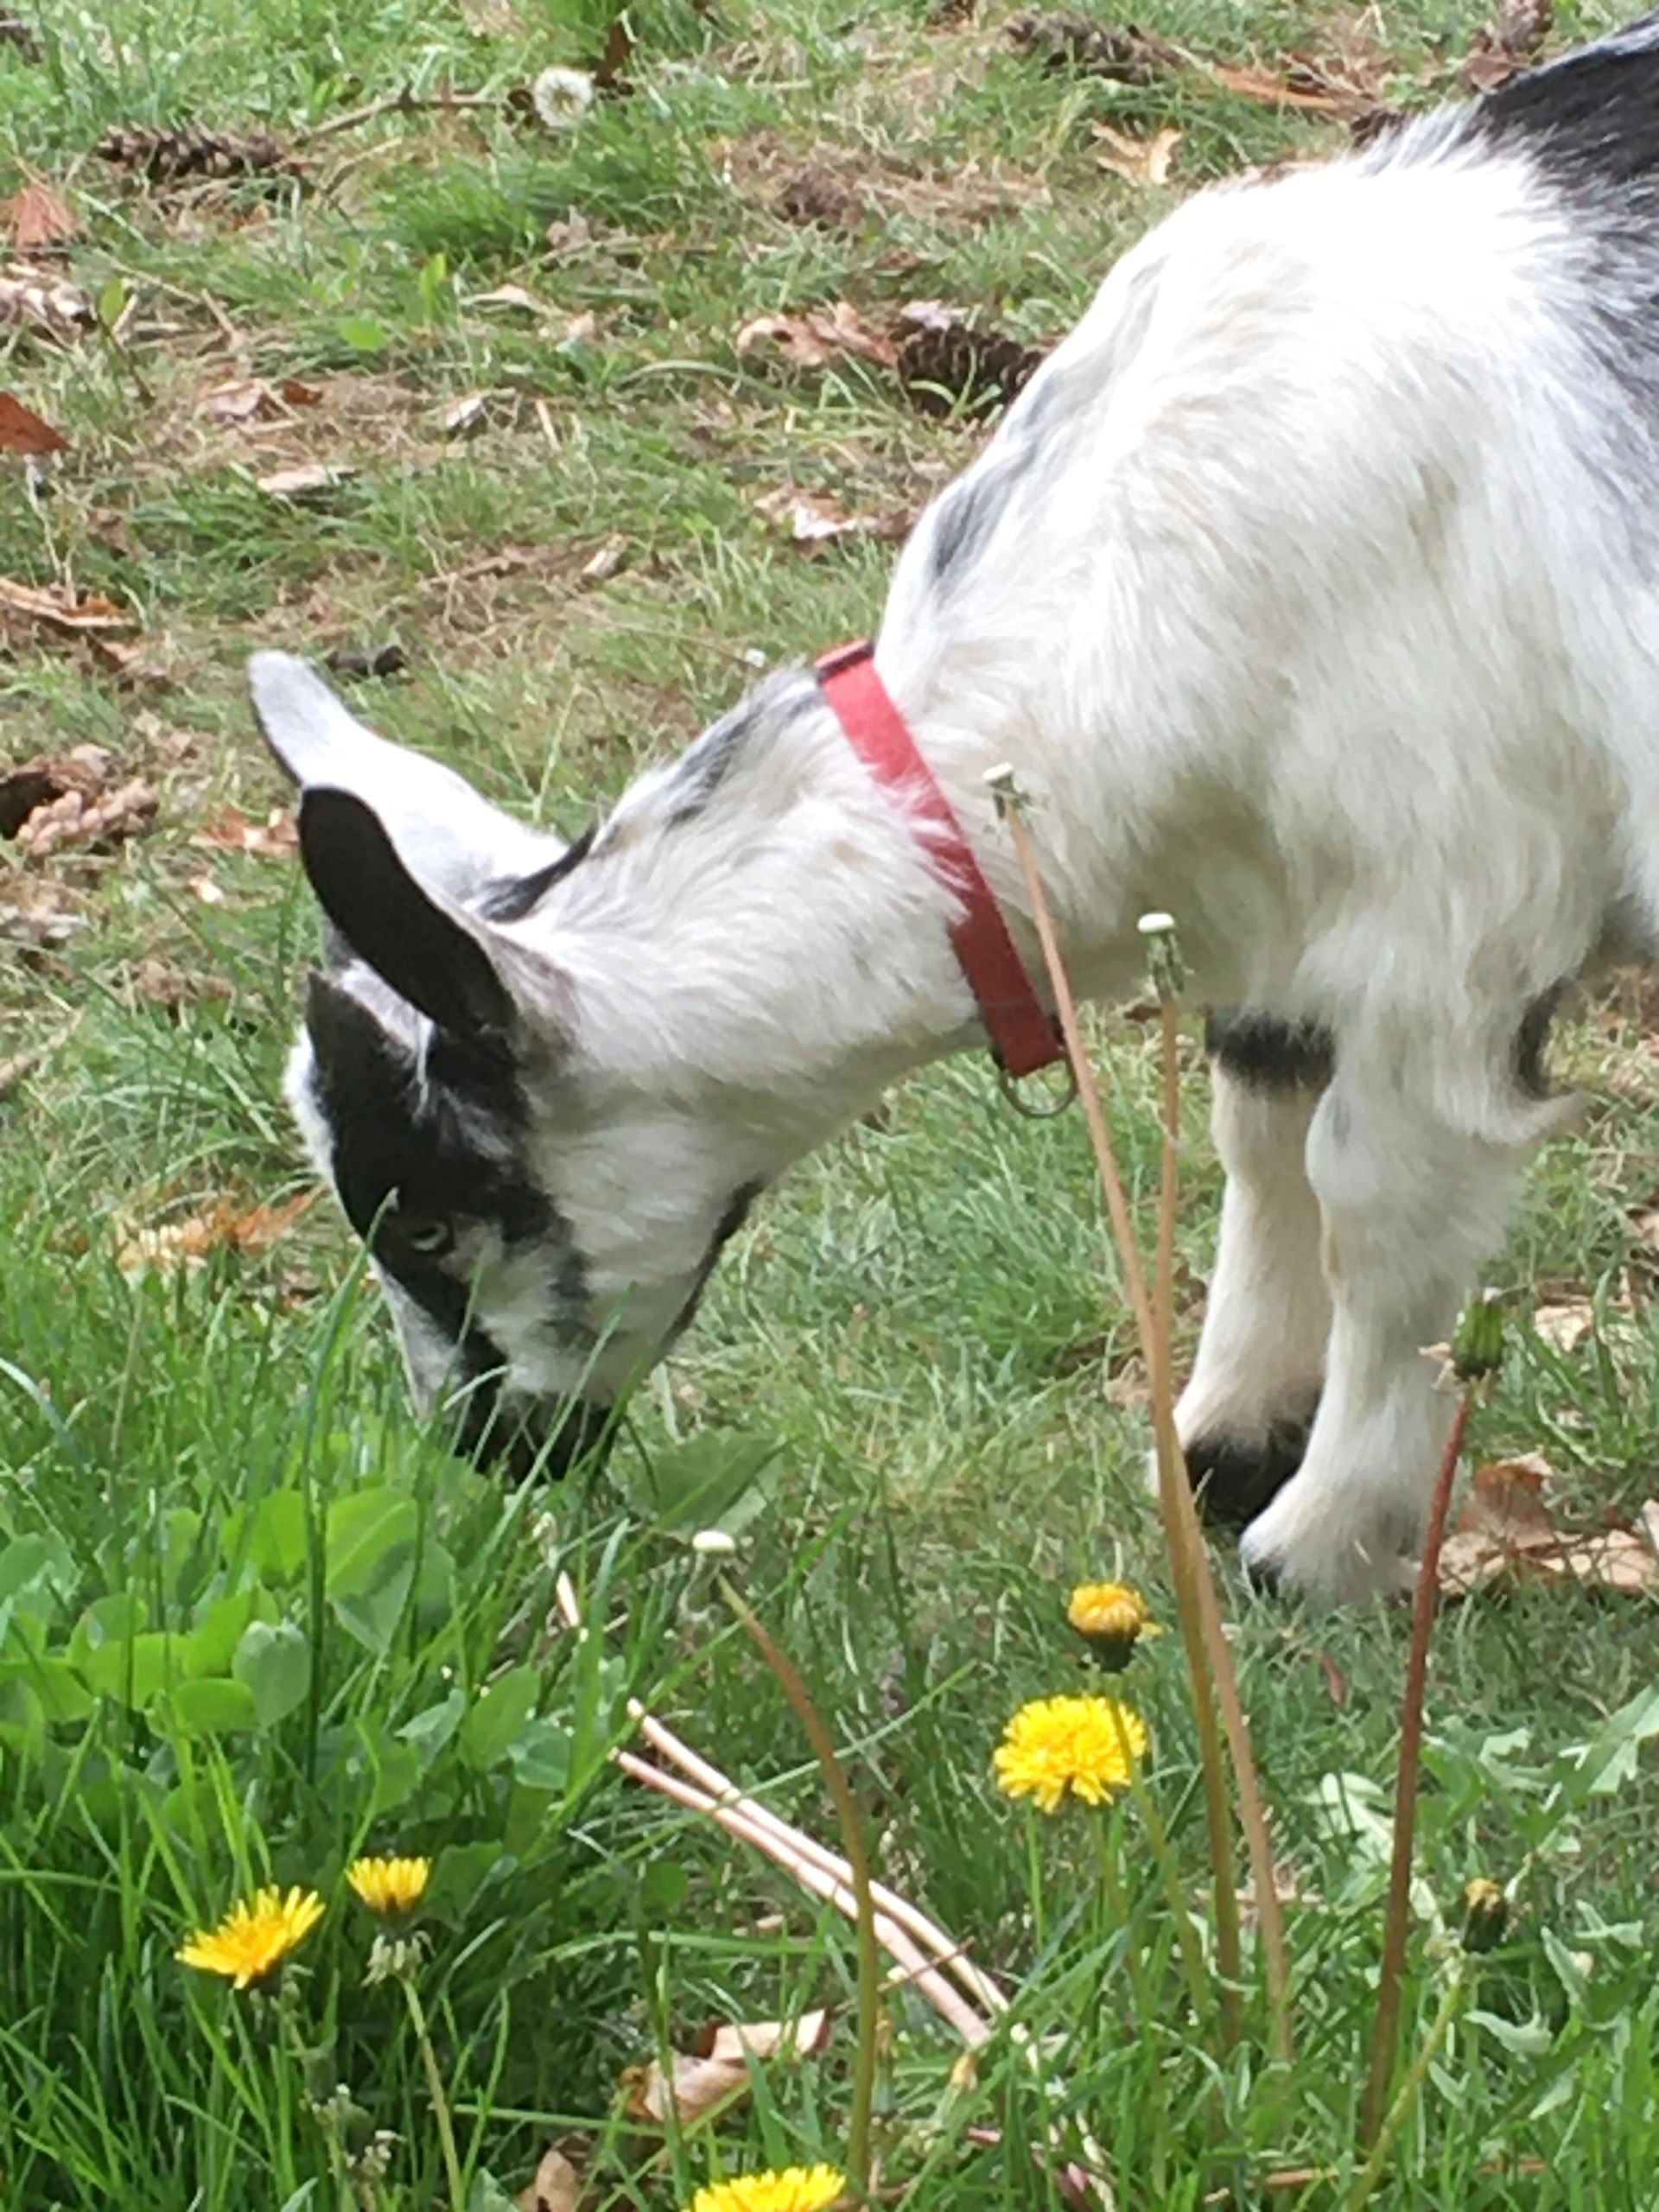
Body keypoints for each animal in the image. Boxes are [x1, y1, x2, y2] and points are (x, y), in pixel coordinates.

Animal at [253, 15, 1659, 1603]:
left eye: (433, 1214)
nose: (493, 1452)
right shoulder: (1279, 918)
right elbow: (1260, 1121)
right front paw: (1225, 1444)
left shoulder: (1449, 927)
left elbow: (1382, 1203)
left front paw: (1311, 1552)